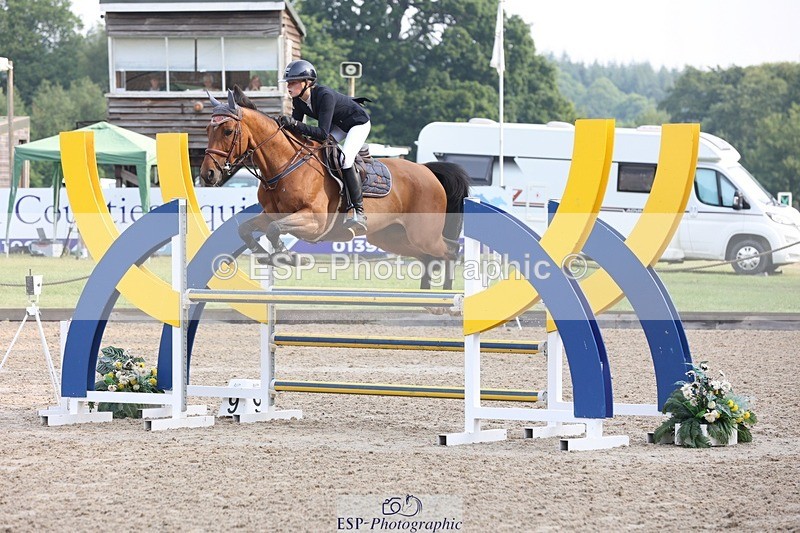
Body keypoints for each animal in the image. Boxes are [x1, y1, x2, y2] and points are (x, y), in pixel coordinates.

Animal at [199, 88, 471, 290]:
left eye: (228, 130)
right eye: (207, 129)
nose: (207, 175)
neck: (286, 165)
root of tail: (428, 172)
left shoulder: (314, 221)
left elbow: (276, 229)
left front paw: (287, 256)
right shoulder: (271, 214)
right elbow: (246, 229)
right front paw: (266, 254)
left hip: (422, 234)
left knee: (450, 251)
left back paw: (446, 298)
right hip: (392, 236)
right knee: (429, 257)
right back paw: (429, 298)